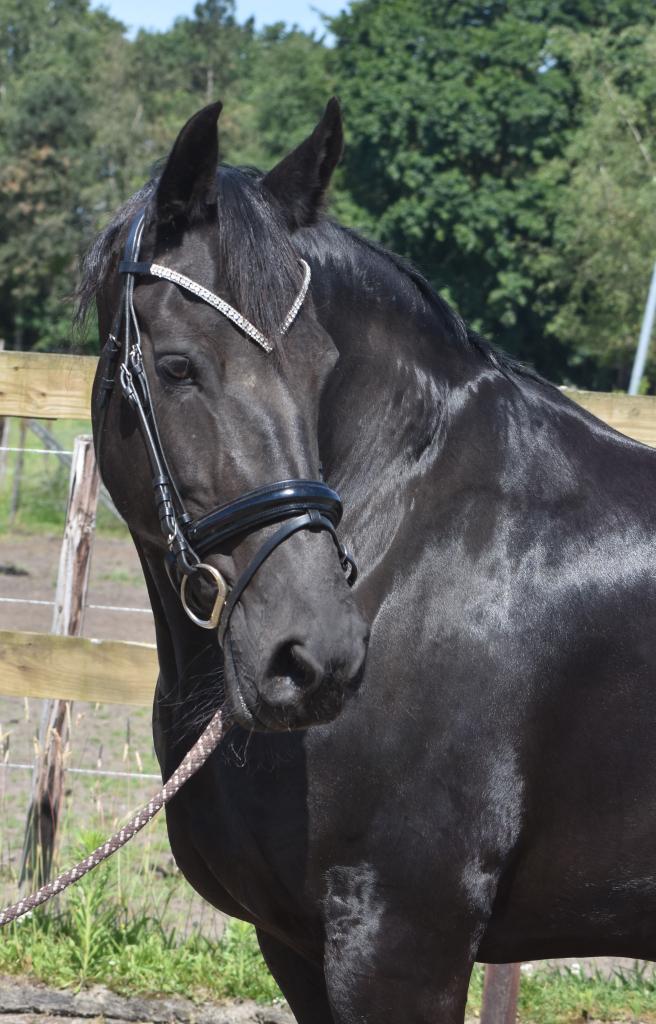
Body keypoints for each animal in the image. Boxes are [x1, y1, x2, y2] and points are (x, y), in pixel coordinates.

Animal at [82, 100, 656, 1024]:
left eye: (323, 369)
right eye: (175, 367)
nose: (314, 656)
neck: (411, 543)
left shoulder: (401, 943)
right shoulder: (292, 944)